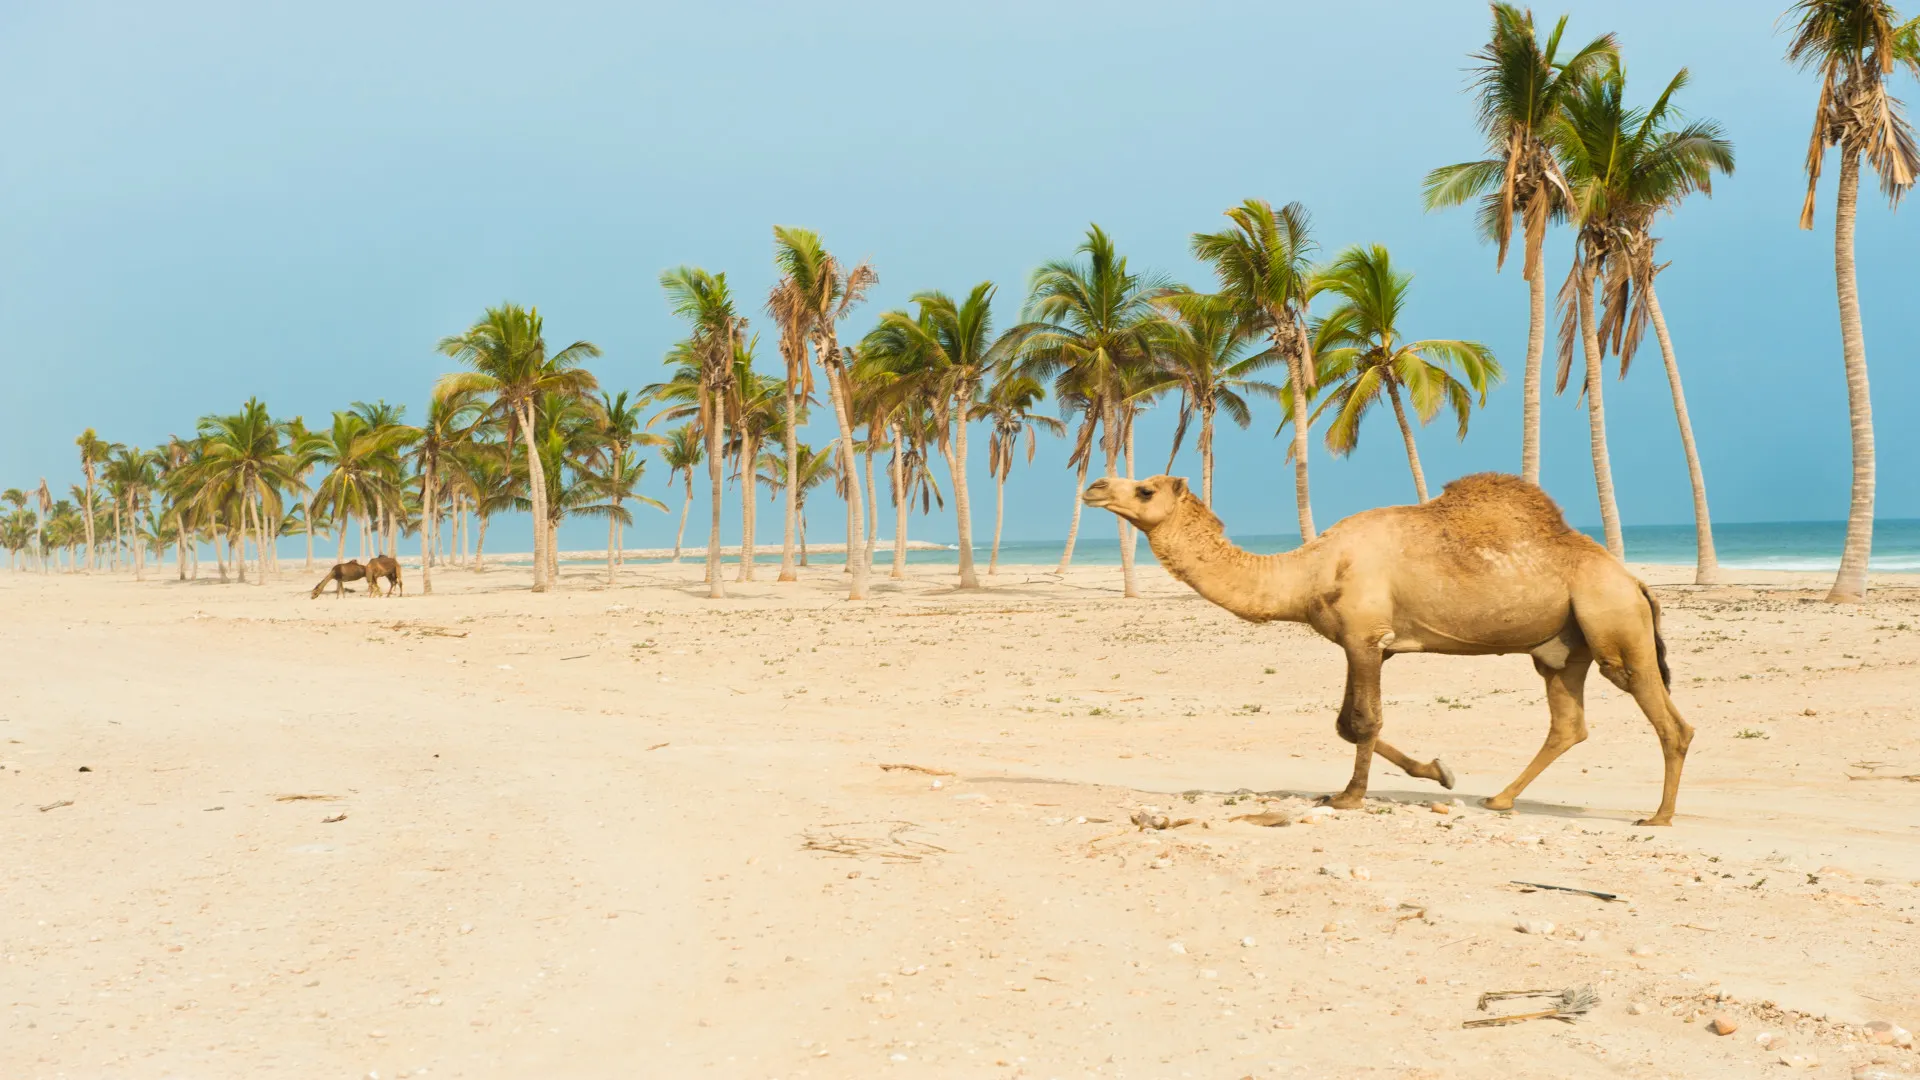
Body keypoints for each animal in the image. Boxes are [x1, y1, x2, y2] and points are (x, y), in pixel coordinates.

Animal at [1082, 470, 1697, 822]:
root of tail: (1634, 581)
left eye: (1145, 488)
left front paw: (1350, 798)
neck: (1308, 572)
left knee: (1668, 720)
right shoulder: (1365, 645)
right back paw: (1500, 800)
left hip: (1612, 622)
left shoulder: (1364, 636)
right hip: (1562, 646)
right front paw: (1440, 771)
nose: (1093, 485)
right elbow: (1345, 724)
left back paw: (1659, 816)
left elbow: (1363, 721)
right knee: (1568, 722)